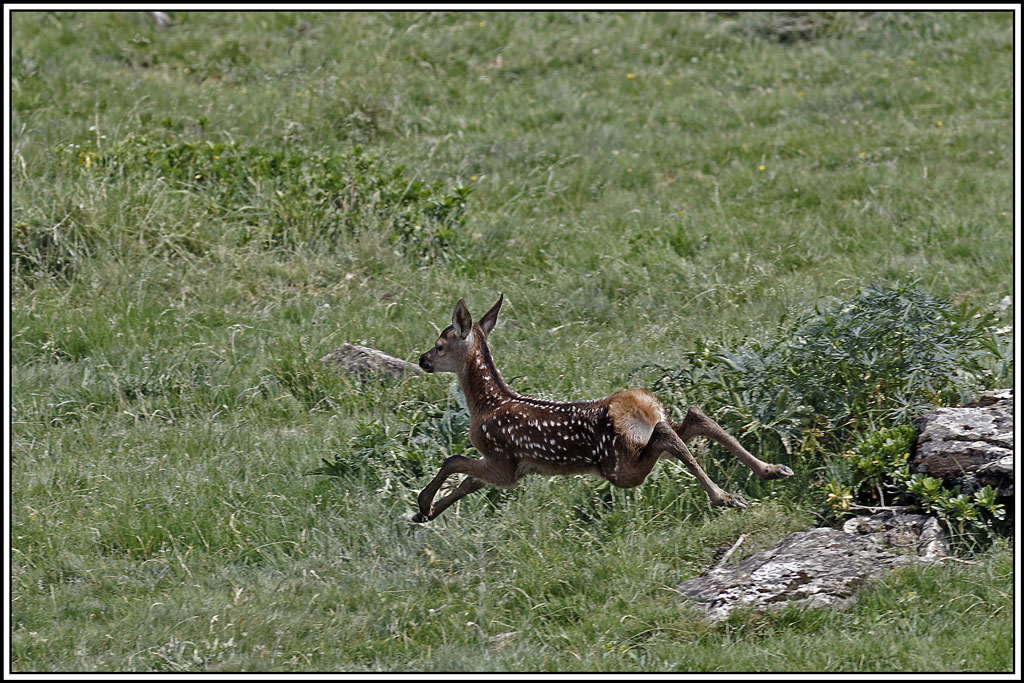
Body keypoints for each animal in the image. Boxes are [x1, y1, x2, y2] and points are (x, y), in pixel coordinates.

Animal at [411, 294, 794, 523]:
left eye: (440, 344)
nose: (422, 359)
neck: (487, 403)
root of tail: (644, 406)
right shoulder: (508, 466)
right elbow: (466, 483)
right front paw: (425, 514)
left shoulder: (504, 461)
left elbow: (453, 461)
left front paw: (422, 504)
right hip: (635, 449)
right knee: (692, 418)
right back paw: (772, 470)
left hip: (620, 465)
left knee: (667, 436)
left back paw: (726, 497)